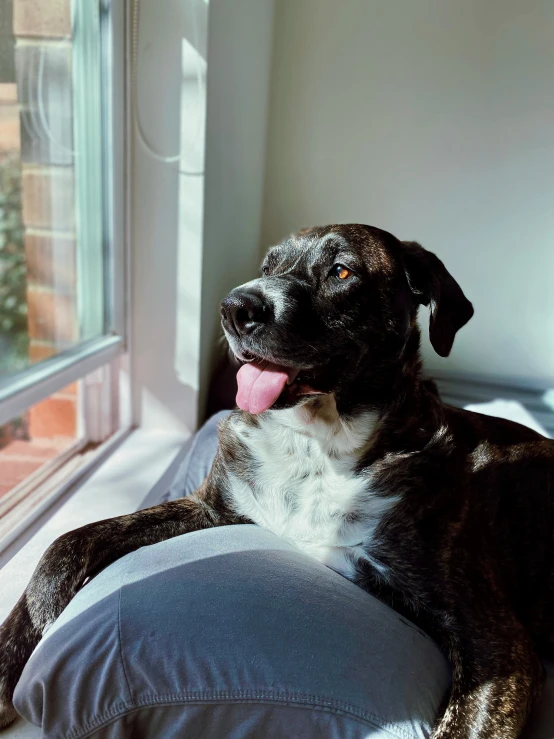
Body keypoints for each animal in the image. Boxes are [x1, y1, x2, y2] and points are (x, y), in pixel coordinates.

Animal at [1, 223, 552, 736]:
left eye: (341, 272)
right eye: (267, 266)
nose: (233, 308)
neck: (316, 446)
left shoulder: (494, 640)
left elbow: (464, 723)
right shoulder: (211, 507)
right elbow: (70, 540)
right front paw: (24, 636)